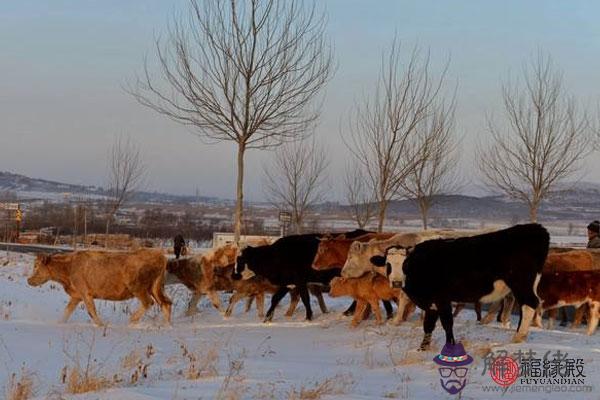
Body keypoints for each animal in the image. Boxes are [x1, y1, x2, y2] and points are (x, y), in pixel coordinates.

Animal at [27, 248, 171, 326]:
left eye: (36, 266)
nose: (29, 280)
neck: (68, 267)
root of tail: (159, 255)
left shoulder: (86, 293)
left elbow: (92, 311)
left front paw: (101, 325)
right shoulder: (77, 295)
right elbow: (67, 311)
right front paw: (59, 323)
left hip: (138, 288)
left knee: (148, 302)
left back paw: (132, 319)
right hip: (155, 288)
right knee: (166, 303)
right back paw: (167, 325)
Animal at [372, 223, 552, 352]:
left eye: (406, 264)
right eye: (388, 265)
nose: (396, 282)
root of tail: (534, 228)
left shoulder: (441, 299)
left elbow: (447, 323)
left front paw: (450, 347)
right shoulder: (431, 303)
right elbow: (428, 325)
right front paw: (423, 348)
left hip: (521, 283)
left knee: (529, 304)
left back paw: (518, 337)